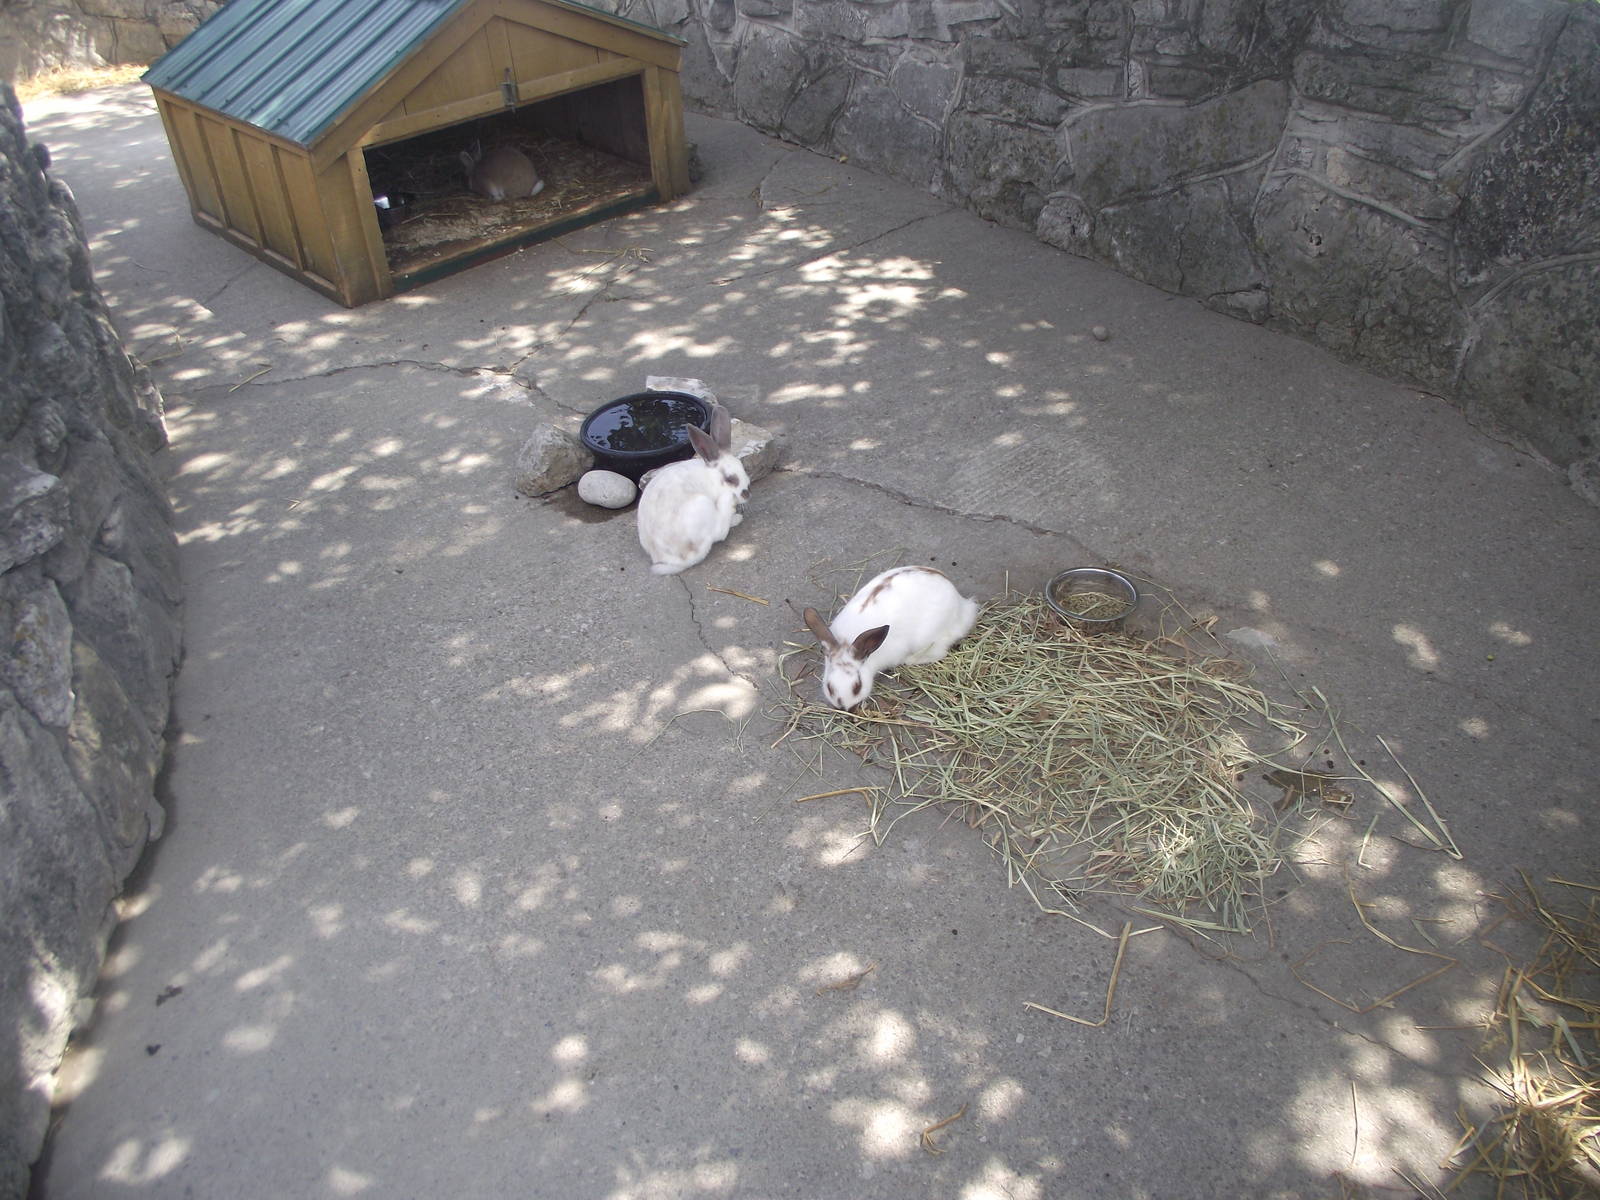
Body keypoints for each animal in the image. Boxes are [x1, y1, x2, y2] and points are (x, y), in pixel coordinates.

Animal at [636, 404, 751, 575]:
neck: (712, 478)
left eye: (744, 468)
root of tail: (677, 560)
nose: (747, 494)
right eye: (730, 479)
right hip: (702, 504)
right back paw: (735, 516)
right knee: (719, 533)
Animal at [803, 566, 980, 710]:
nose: (844, 707)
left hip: (928, 638)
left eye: (857, 686)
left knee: (939, 652)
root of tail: (962, 605)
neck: (847, 641)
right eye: (829, 687)